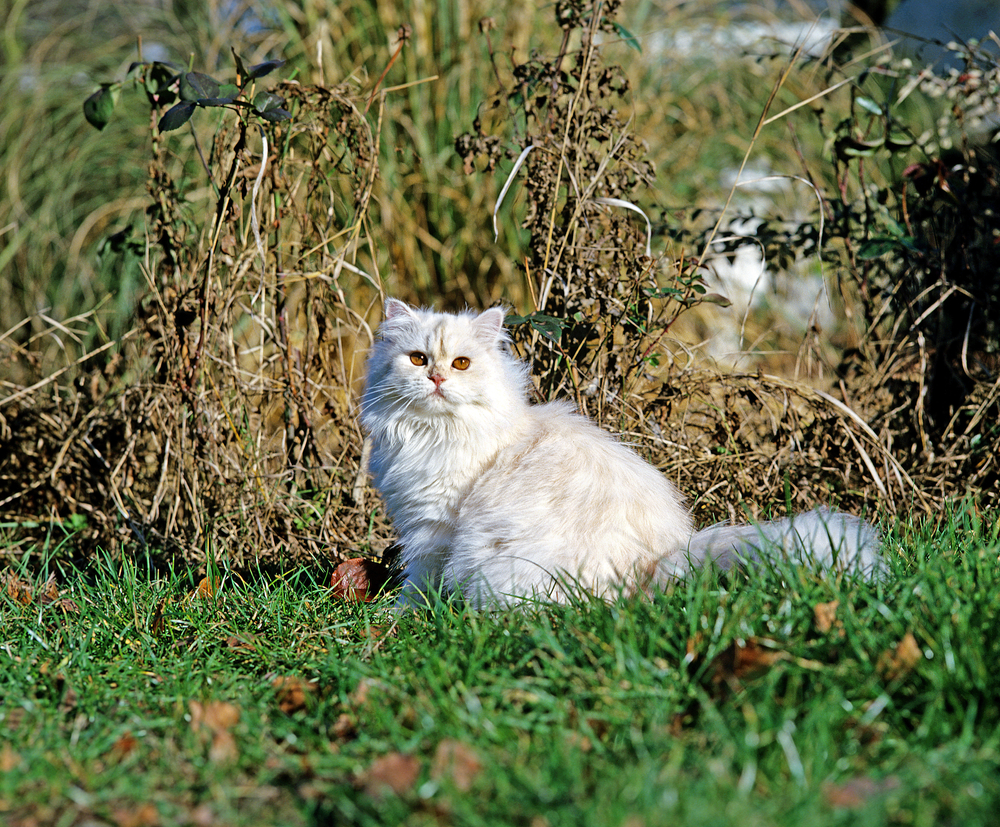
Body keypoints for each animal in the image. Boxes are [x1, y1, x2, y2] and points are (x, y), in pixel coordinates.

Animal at [362, 300, 884, 612]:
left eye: (461, 363)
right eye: (417, 359)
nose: (436, 379)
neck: (433, 432)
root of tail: (661, 562)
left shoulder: (433, 529)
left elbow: (418, 581)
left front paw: (400, 617)